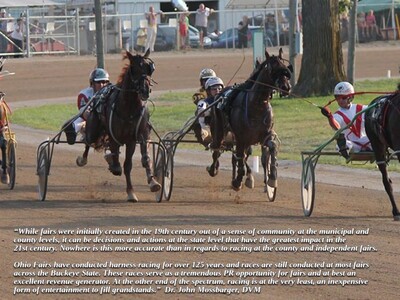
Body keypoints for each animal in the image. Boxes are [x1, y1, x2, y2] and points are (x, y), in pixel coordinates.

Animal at [77, 49, 160, 202]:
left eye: (149, 68)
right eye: (134, 68)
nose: (145, 91)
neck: (128, 108)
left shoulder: (137, 137)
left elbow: (137, 162)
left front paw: (151, 183)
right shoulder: (114, 136)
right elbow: (117, 163)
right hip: (94, 128)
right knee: (88, 141)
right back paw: (83, 159)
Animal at [206, 48, 290, 191]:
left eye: (284, 66)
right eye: (272, 68)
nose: (286, 87)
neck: (257, 105)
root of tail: (220, 94)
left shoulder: (264, 135)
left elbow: (271, 147)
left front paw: (272, 178)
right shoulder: (241, 137)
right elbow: (240, 157)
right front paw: (238, 181)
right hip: (218, 130)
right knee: (217, 149)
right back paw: (213, 169)